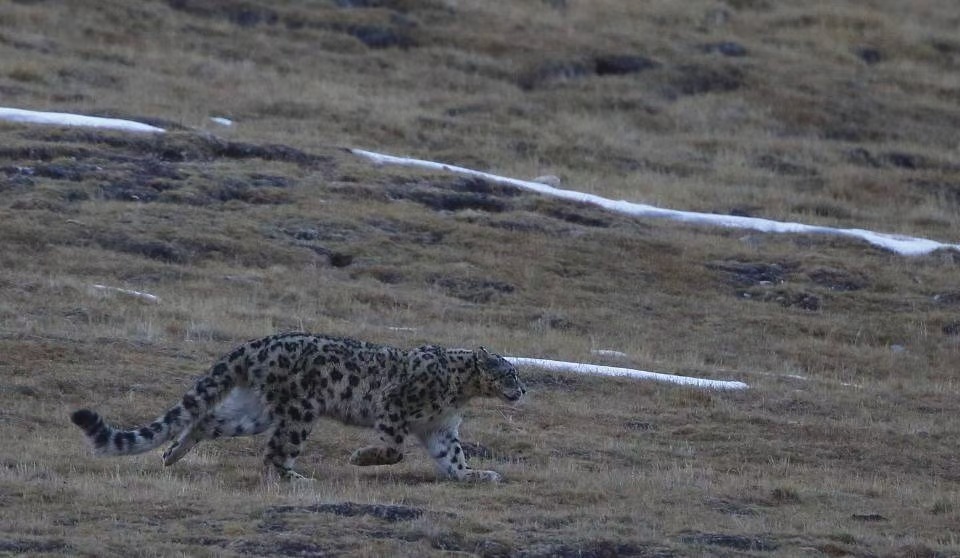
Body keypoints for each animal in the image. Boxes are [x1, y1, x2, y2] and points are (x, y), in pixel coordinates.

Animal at [70, 332, 525, 482]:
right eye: (508, 372)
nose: (522, 390)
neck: (461, 391)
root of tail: (254, 345)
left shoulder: (442, 429)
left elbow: (453, 457)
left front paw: (474, 475)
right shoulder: (394, 406)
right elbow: (393, 448)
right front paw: (362, 457)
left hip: (255, 412)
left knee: (207, 419)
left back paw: (171, 454)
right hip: (301, 411)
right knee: (274, 453)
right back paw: (296, 478)